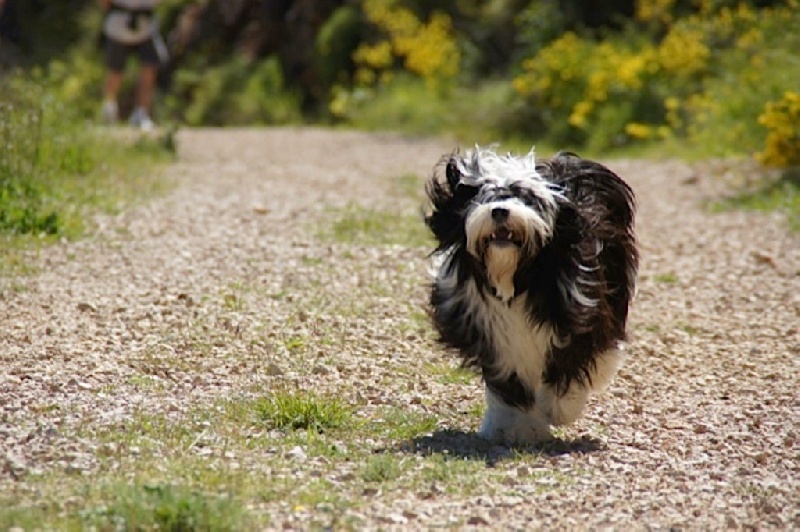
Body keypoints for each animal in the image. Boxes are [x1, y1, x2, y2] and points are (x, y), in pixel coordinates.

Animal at [424, 147, 636, 444]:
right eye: (484, 195)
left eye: (528, 199)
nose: (500, 211)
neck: (517, 280)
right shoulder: (491, 335)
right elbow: (509, 382)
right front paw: (517, 426)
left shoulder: (580, 313)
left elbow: (570, 361)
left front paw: (560, 407)